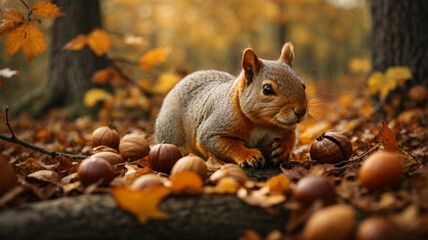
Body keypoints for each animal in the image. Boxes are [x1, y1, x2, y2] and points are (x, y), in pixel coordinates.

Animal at [155, 42, 306, 168]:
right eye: (267, 89)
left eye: (303, 85)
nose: (301, 111)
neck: (263, 124)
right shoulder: (214, 128)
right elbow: (225, 144)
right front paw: (249, 155)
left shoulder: (286, 129)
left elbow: (291, 137)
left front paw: (284, 149)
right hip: (170, 129)